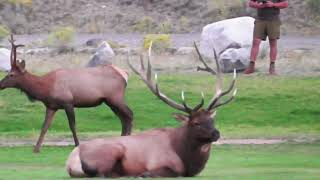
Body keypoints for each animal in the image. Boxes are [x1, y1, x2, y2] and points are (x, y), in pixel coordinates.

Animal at [0, 35, 132, 153]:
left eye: (11, 74)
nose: (0, 84)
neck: (45, 88)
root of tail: (125, 75)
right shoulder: (51, 106)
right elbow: (44, 126)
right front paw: (36, 148)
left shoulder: (68, 102)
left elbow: (72, 125)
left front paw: (77, 144)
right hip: (110, 101)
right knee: (123, 117)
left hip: (115, 97)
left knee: (129, 114)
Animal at [65, 42, 238, 179]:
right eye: (196, 122)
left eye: (212, 119)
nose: (216, 133)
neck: (185, 157)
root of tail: (71, 161)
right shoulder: (163, 164)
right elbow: (166, 172)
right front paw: (142, 174)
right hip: (112, 151)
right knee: (102, 174)